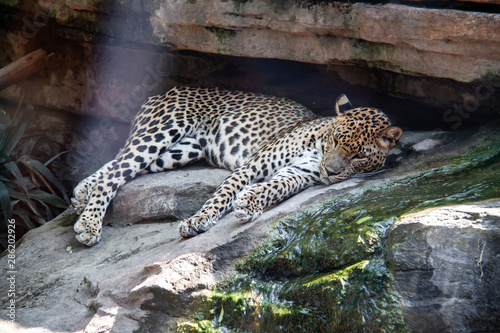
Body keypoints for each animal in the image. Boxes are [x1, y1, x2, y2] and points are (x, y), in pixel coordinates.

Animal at [71, 87, 402, 245]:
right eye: (336, 139)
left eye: (359, 156)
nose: (330, 172)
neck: (317, 146)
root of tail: (164, 91)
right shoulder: (253, 166)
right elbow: (221, 194)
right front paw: (198, 220)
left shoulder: (298, 175)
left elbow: (275, 188)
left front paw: (250, 203)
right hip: (163, 131)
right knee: (116, 171)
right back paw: (89, 223)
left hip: (180, 151)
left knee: (119, 164)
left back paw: (81, 195)